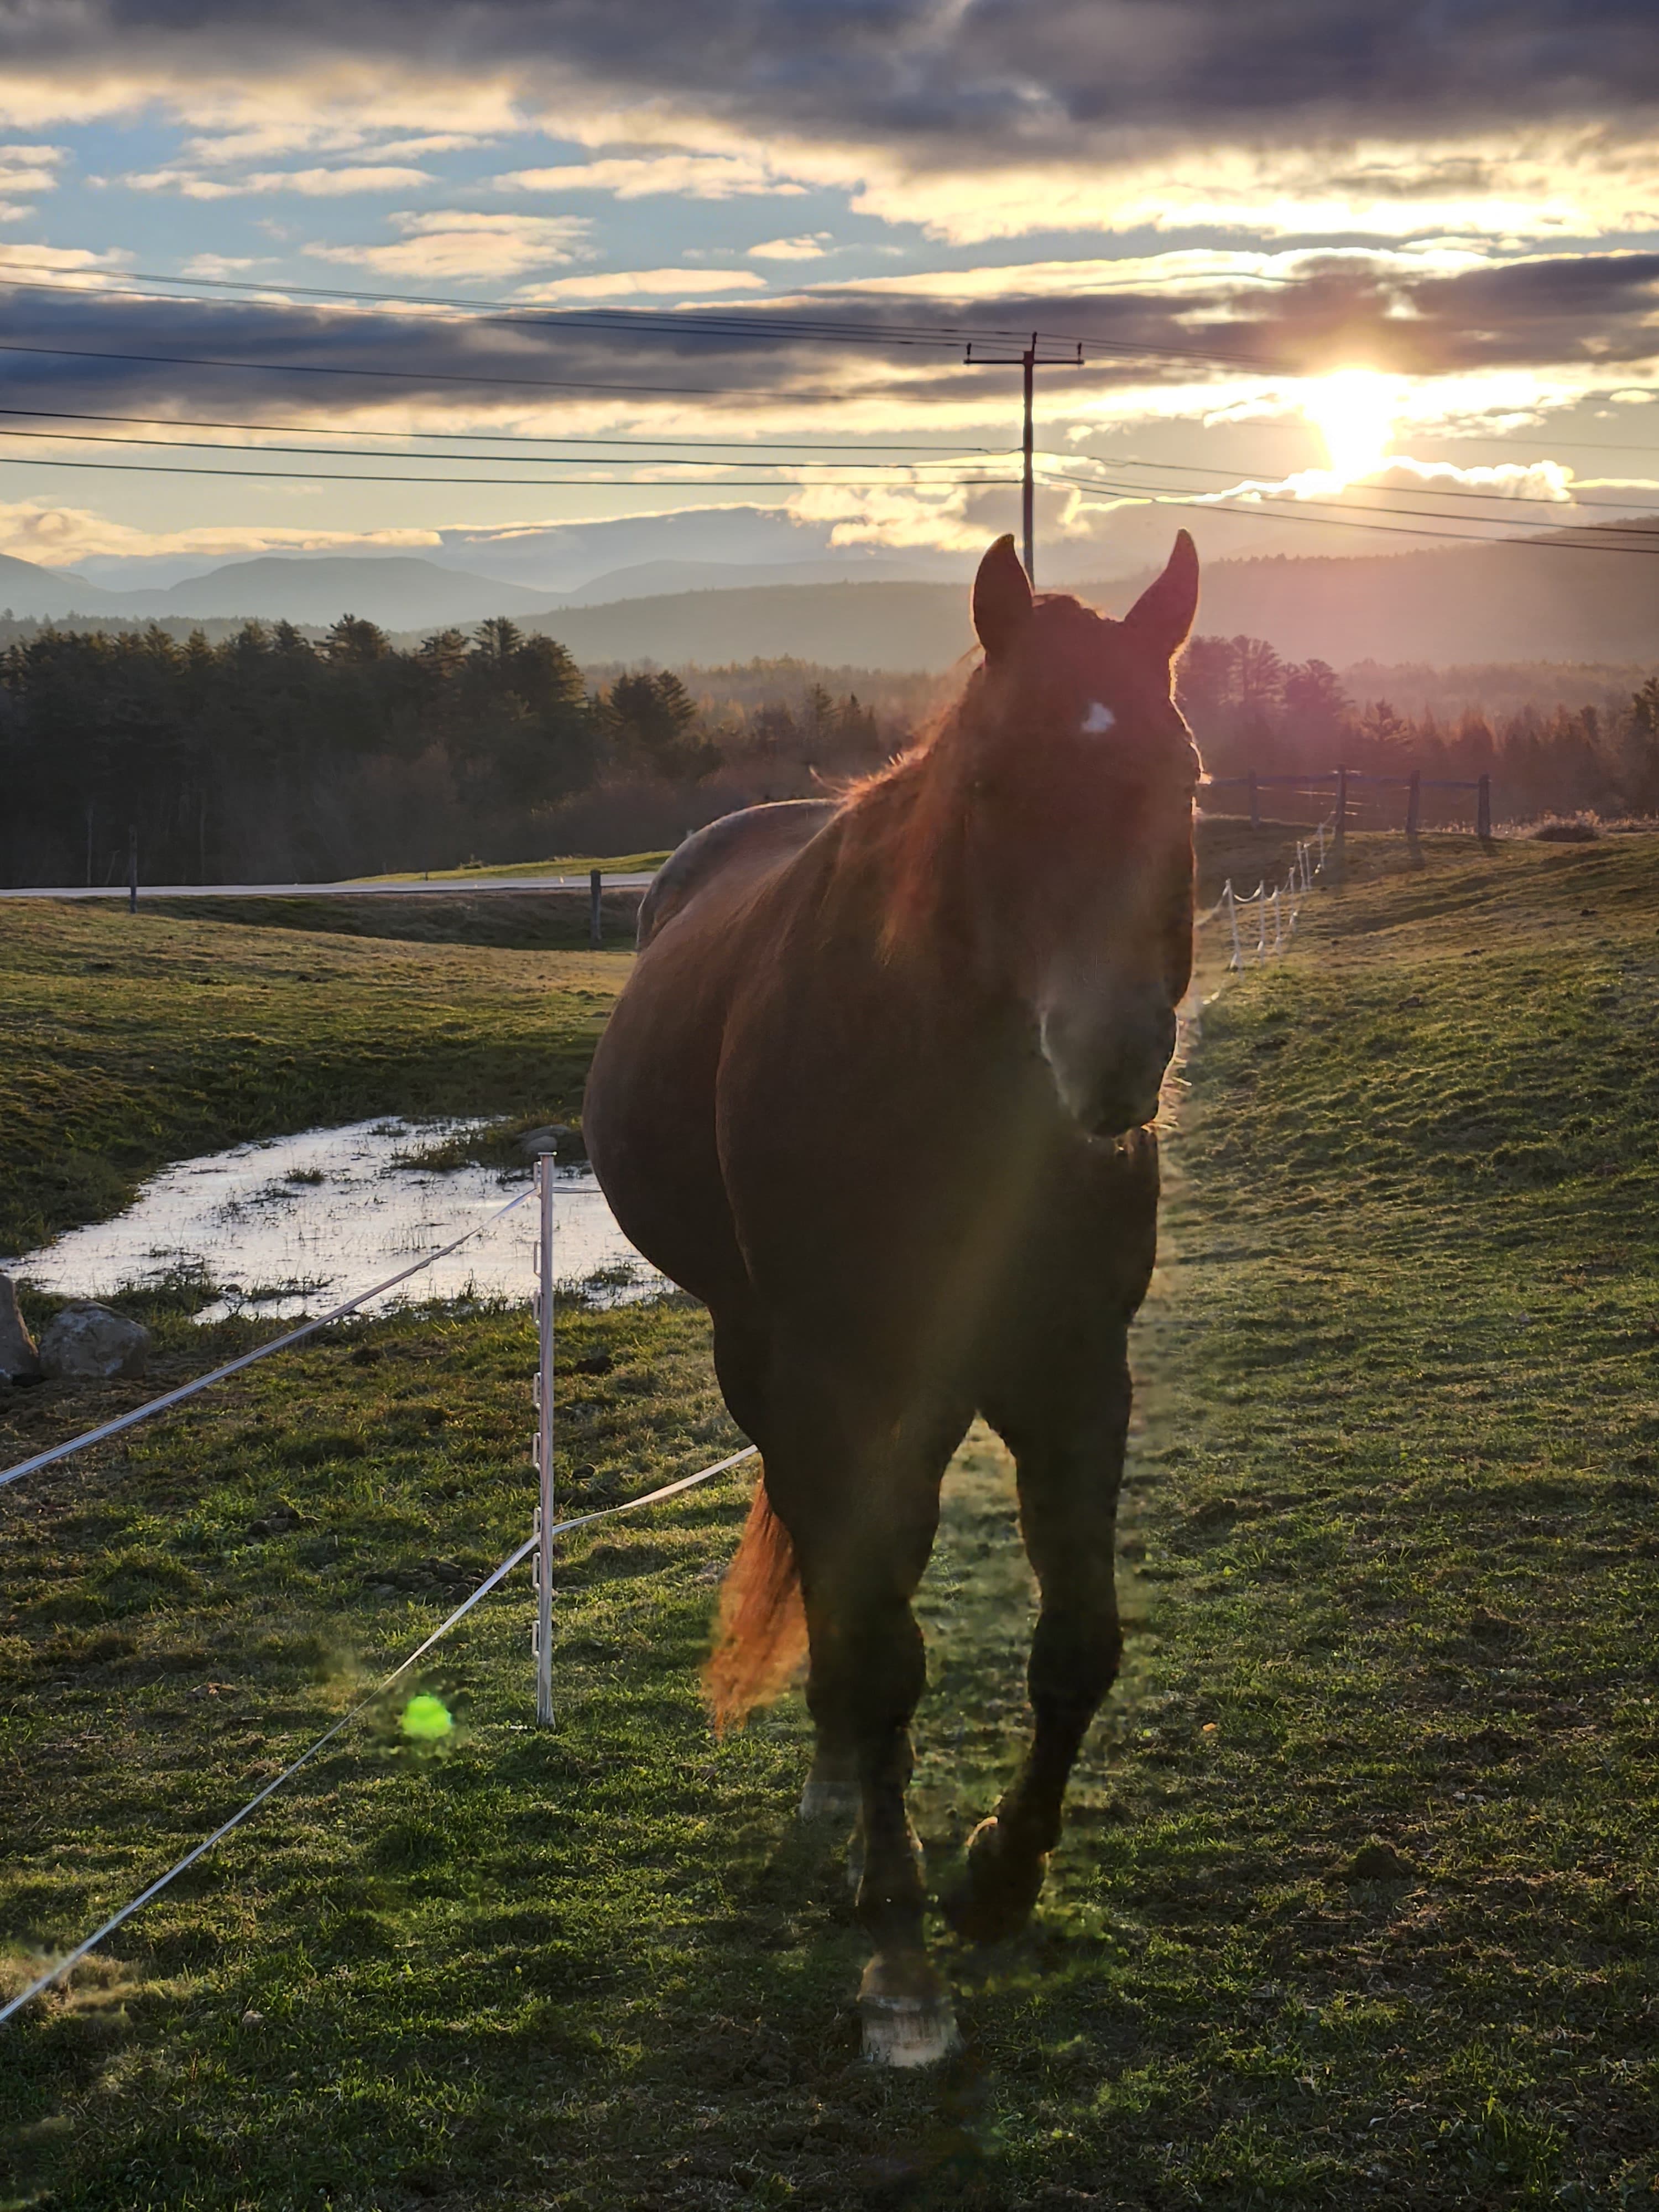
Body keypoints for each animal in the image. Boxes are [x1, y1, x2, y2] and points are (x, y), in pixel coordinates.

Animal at [593, 526, 1203, 2062]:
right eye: (989, 783)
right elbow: (873, 1634)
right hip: (766, 1359)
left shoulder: (1070, 1373)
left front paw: (997, 1871)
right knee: (834, 1553)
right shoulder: (833, 1376)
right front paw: (901, 1936)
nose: (1112, 1057)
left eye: (1183, 779)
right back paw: (837, 1788)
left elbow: (1077, 1644)